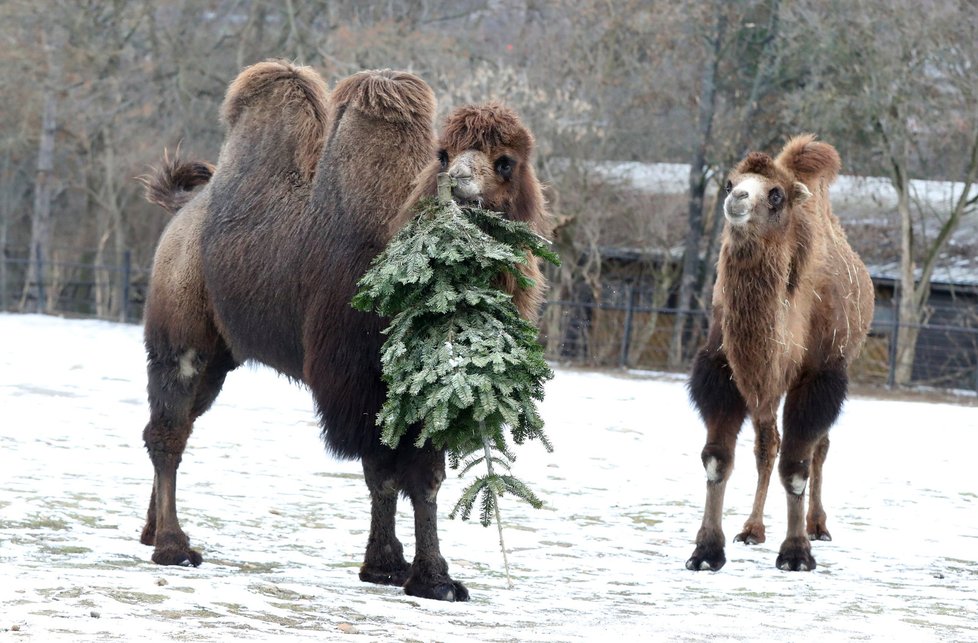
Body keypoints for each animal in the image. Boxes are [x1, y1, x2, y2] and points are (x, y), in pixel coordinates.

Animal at [684, 133, 872, 572]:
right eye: (730, 181)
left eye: (775, 195)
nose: (736, 197)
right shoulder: (725, 366)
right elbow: (718, 458)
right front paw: (706, 551)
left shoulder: (819, 375)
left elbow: (797, 465)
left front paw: (797, 552)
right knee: (768, 444)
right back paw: (752, 529)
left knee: (818, 447)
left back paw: (818, 526)